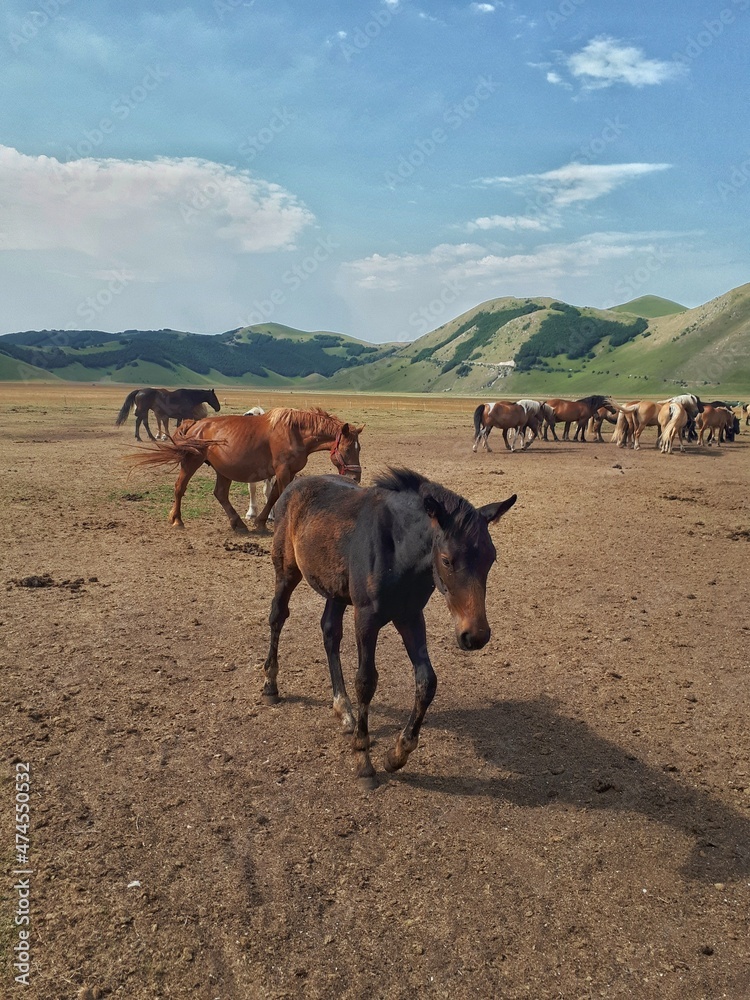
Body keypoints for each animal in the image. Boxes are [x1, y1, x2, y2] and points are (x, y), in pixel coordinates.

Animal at [129, 407, 364, 532]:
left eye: (358, 448)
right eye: (348, 448)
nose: (355, 476)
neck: (296, 432)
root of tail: (195, 424)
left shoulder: (288, 471)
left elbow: (274, 496)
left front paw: (261, 522)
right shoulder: (283, 470)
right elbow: (279, 495)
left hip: (222, 470)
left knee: (220, 494)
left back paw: (238, 523)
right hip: (191, 462)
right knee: (179, 488)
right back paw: (177, 519)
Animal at [262, 467, 517, 786]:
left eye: (491, 557)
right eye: (447, 560)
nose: (476, 635)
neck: (398, 550)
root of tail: (294, 484)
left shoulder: (410, 616)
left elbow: (426, 681)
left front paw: (397, 754)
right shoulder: (366, 618)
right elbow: (366, 681)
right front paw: (363, 759)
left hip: (336, 590)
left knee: (330, 632)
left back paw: (343, 709)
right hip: (286, 571)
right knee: (278, 616)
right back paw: (271, 685)